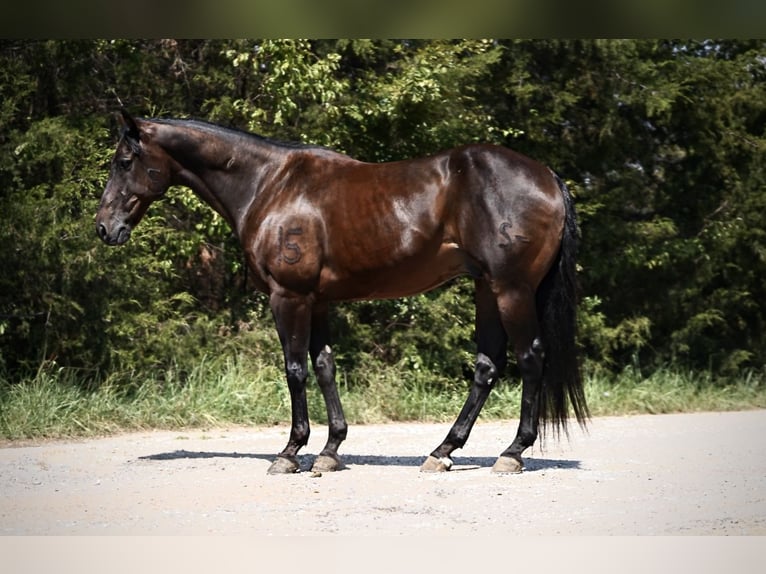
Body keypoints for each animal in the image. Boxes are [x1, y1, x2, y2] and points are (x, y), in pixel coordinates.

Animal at [94, 109, 588, 476]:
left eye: (123, 161)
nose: (104, 228)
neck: (269, 184)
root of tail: (548, 177)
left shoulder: (288, 296)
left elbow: (295, 368)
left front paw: (290, 452)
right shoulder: (318, 301)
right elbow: (325, 366)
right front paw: (330, 451)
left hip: (511, 289)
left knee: (530, 357)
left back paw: (512, 453)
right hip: (486, 289)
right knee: (487, 366)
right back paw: (442, 451)